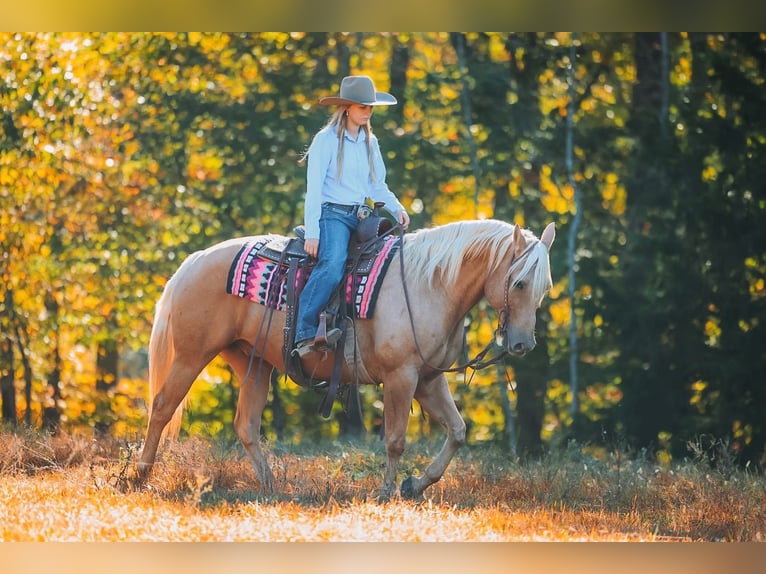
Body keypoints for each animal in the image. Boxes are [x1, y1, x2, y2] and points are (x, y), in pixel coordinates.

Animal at [136, 218, 556, 499]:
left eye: (544, 287)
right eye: (519, 282)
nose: (522, 344)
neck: (429, 285)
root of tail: (194, 261)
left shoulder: (429, 379)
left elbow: (457, 431)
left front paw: (414, 485)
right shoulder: (401, 376)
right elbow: (395, 439)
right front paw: (387, 492)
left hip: (253, 364)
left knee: (246, 425)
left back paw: (271, 487)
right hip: (191, 356)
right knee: (162, 407)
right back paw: (140, 476)